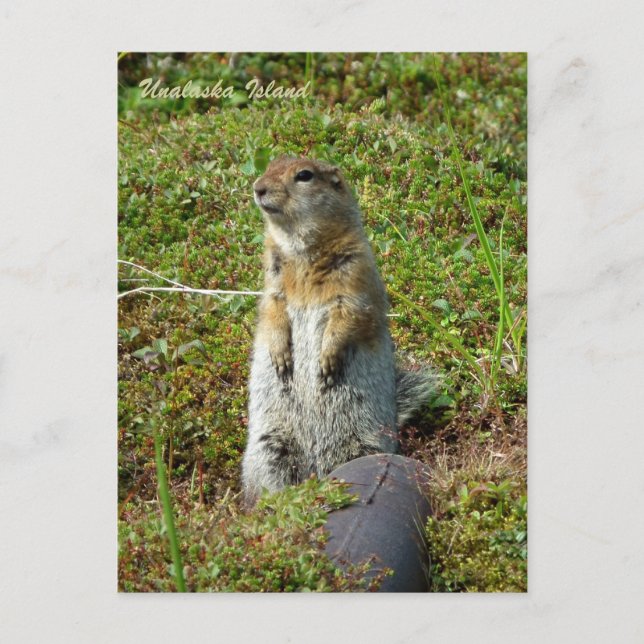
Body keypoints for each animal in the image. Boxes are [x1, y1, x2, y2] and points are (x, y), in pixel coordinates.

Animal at [241, 156, 436, 506]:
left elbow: (349, 314)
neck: (301, 250)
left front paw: (327, 362)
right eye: (271, 163)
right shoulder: (273, 279)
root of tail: (315, 471)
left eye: (304, 175)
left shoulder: (355, 272)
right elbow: (272, 309)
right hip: (269, 448)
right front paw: (280, 356)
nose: (258, 187)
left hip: (363, 442)